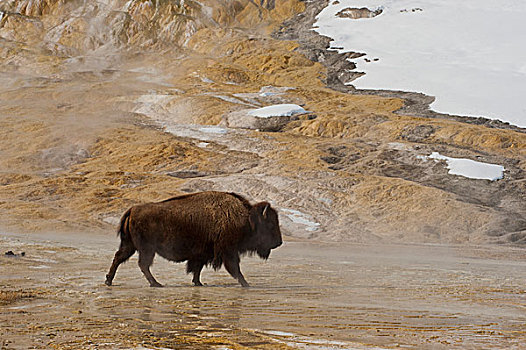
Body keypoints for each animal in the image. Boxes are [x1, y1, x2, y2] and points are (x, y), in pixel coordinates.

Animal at [104, 191, 282, 288]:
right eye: (270, 223)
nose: (279, 242)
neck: (246, 218)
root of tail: (133, 209)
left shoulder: (203, 254)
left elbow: (197, 269)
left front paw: (198, 283)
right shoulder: (228, 251)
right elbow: (235, 269)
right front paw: (246, 284)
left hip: (131, 245)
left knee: (119, 258)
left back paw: (109, 281)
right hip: (146, 249)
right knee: (143, 264)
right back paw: (156, 284)